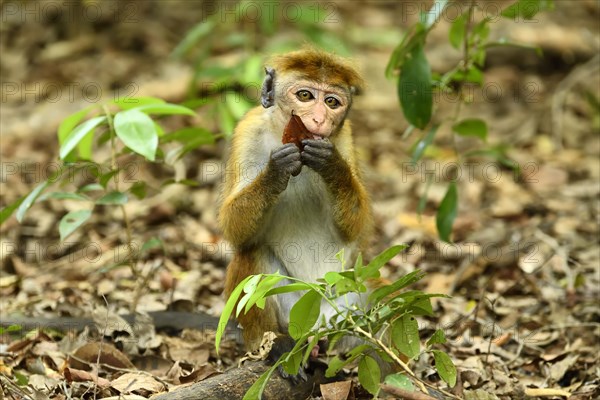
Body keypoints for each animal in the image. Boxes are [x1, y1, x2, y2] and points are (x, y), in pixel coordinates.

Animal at [218, 48, 372, 360]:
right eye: (304, 96)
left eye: (332, 102)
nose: (319, 120)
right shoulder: (247, 132)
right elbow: (235, 230)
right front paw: (276, 171)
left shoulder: (344, 139)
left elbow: (353, 228)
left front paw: (333, 166)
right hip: (294, 309)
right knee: (250, 255)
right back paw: (272, 342)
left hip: (342, 301)